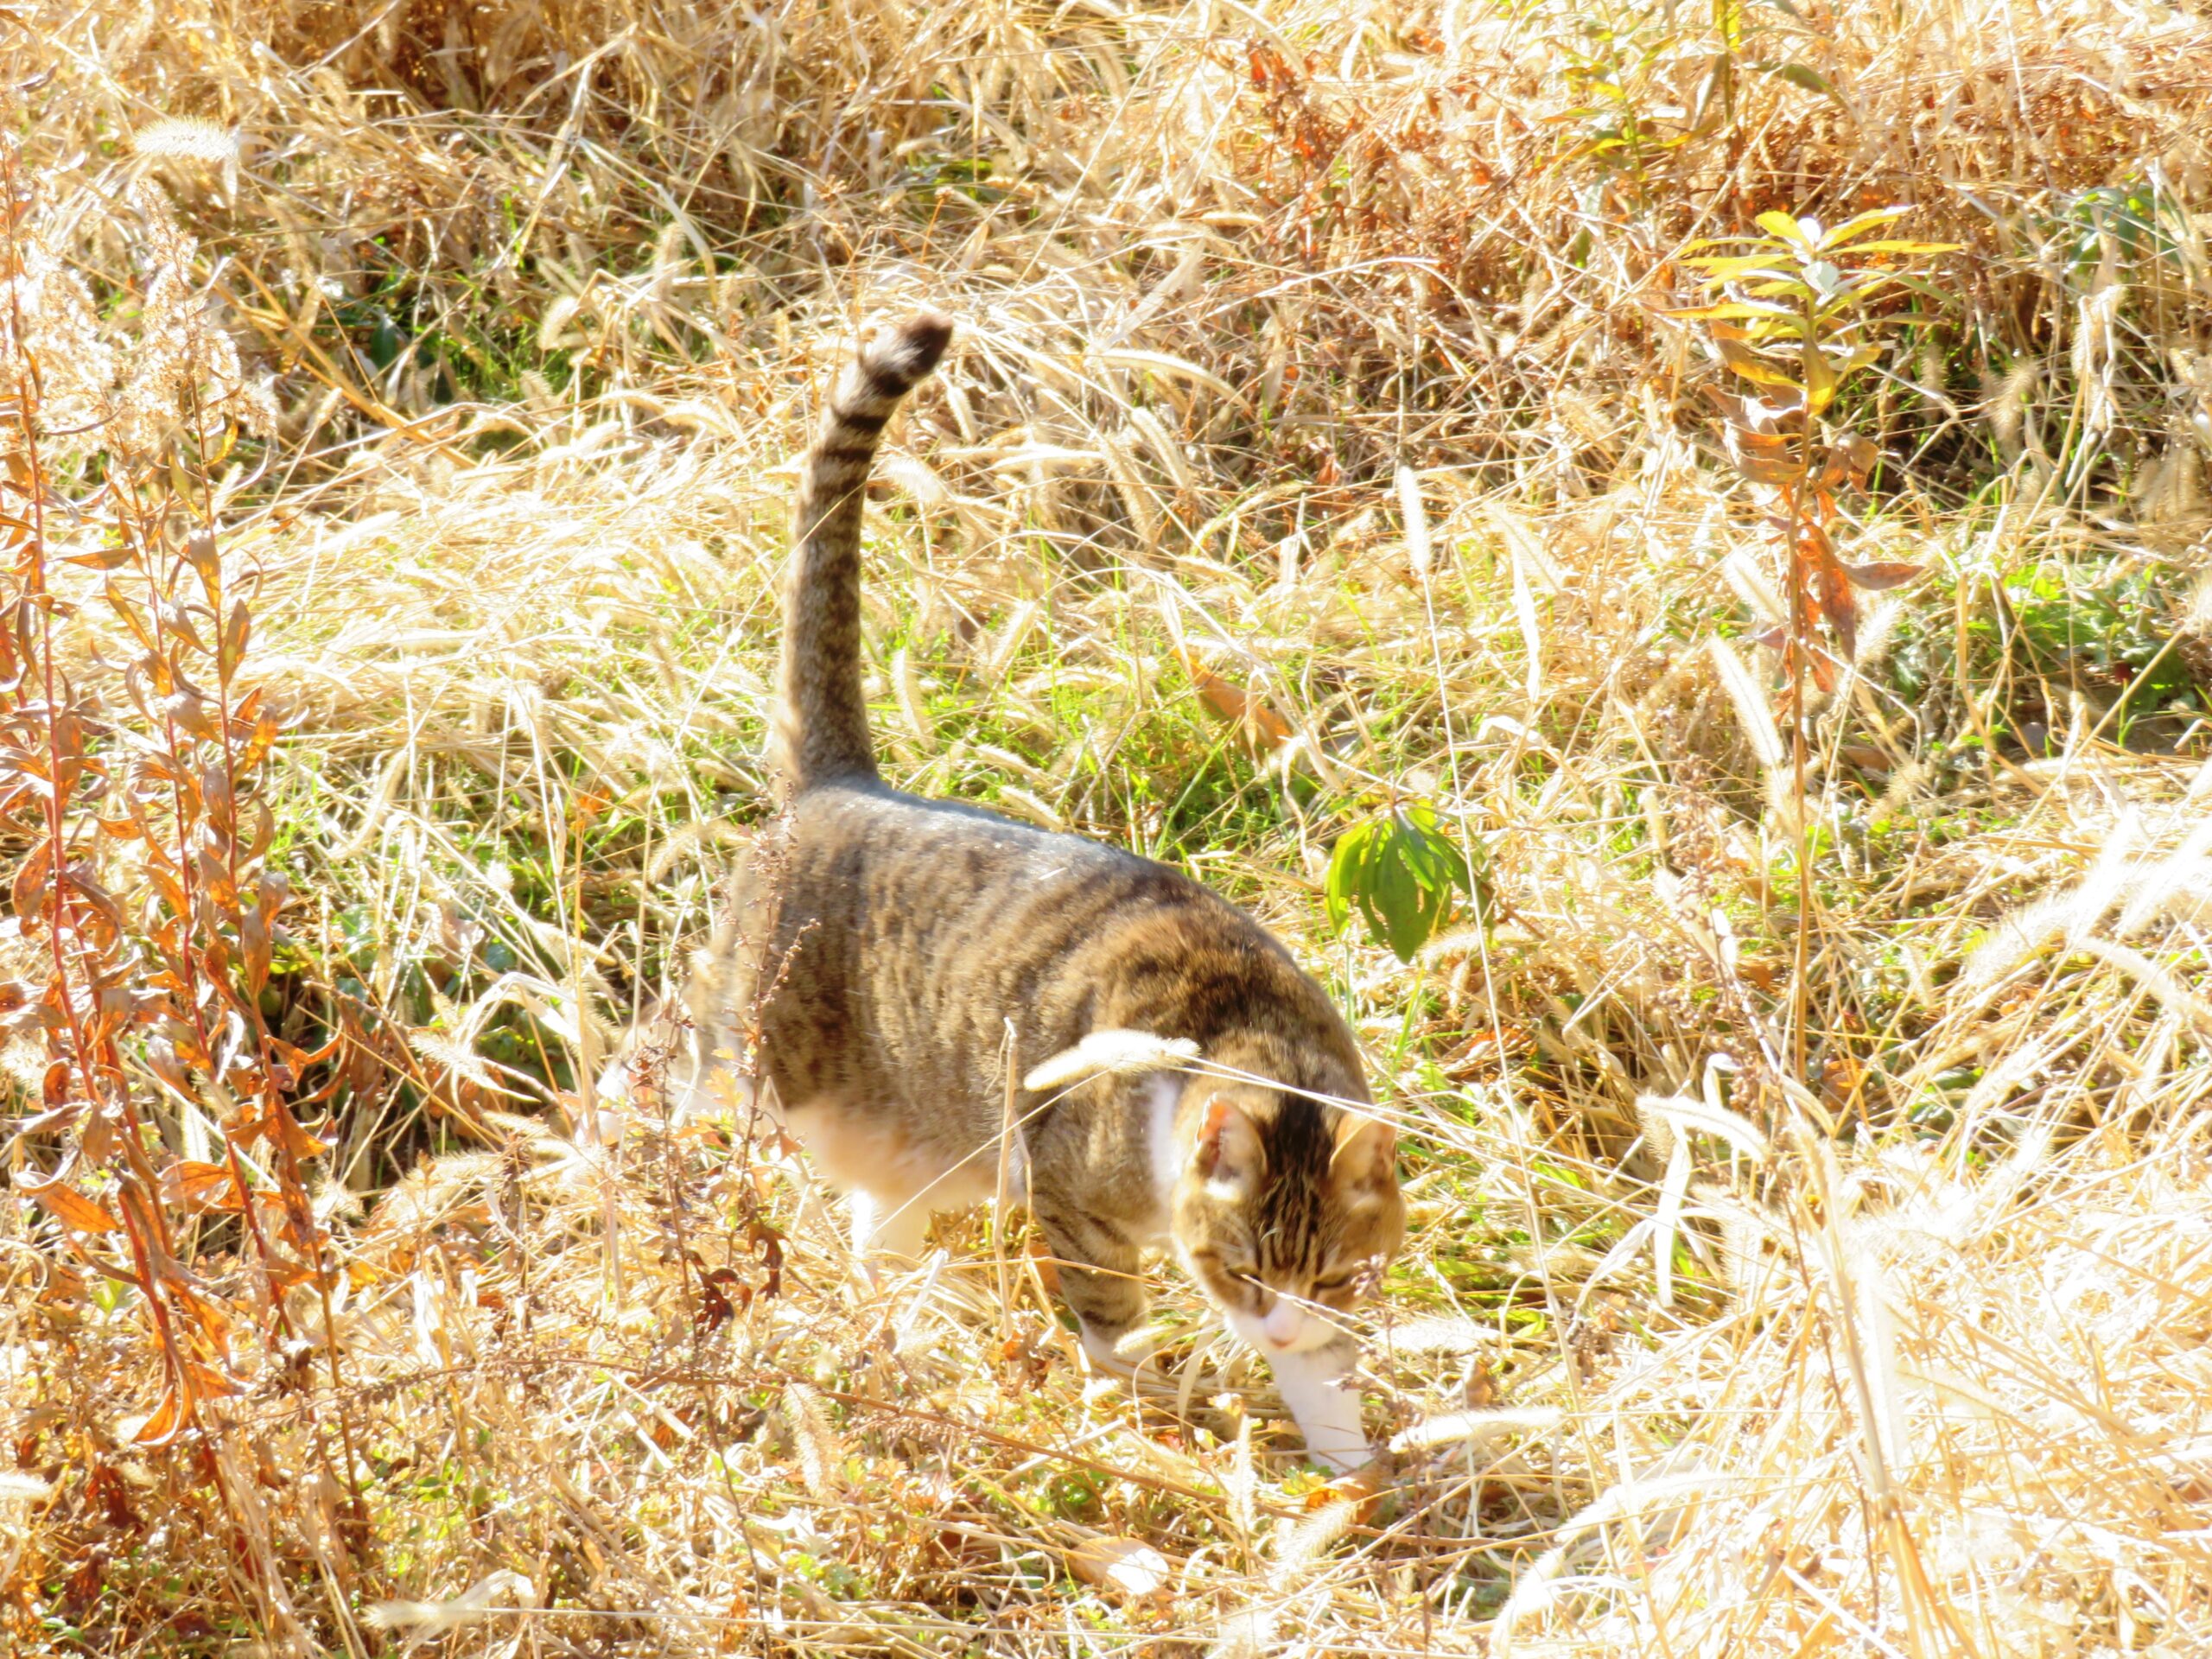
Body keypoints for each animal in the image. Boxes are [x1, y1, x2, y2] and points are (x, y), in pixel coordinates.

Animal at [668, 309, 1397, 1468]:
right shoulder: (1074, 1203)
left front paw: (1354, 1478)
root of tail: (837, 782)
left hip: (912, 1148)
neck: (1241, 1033)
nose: (1270, 1323)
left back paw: (895, 1348)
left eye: (1331, 1273)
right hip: (740, 1071)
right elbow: (1112, 1326)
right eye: (1236, 1265)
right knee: (645, 1125)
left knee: (877, 1240)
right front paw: (1146, 1422)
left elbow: (1328, 1386)